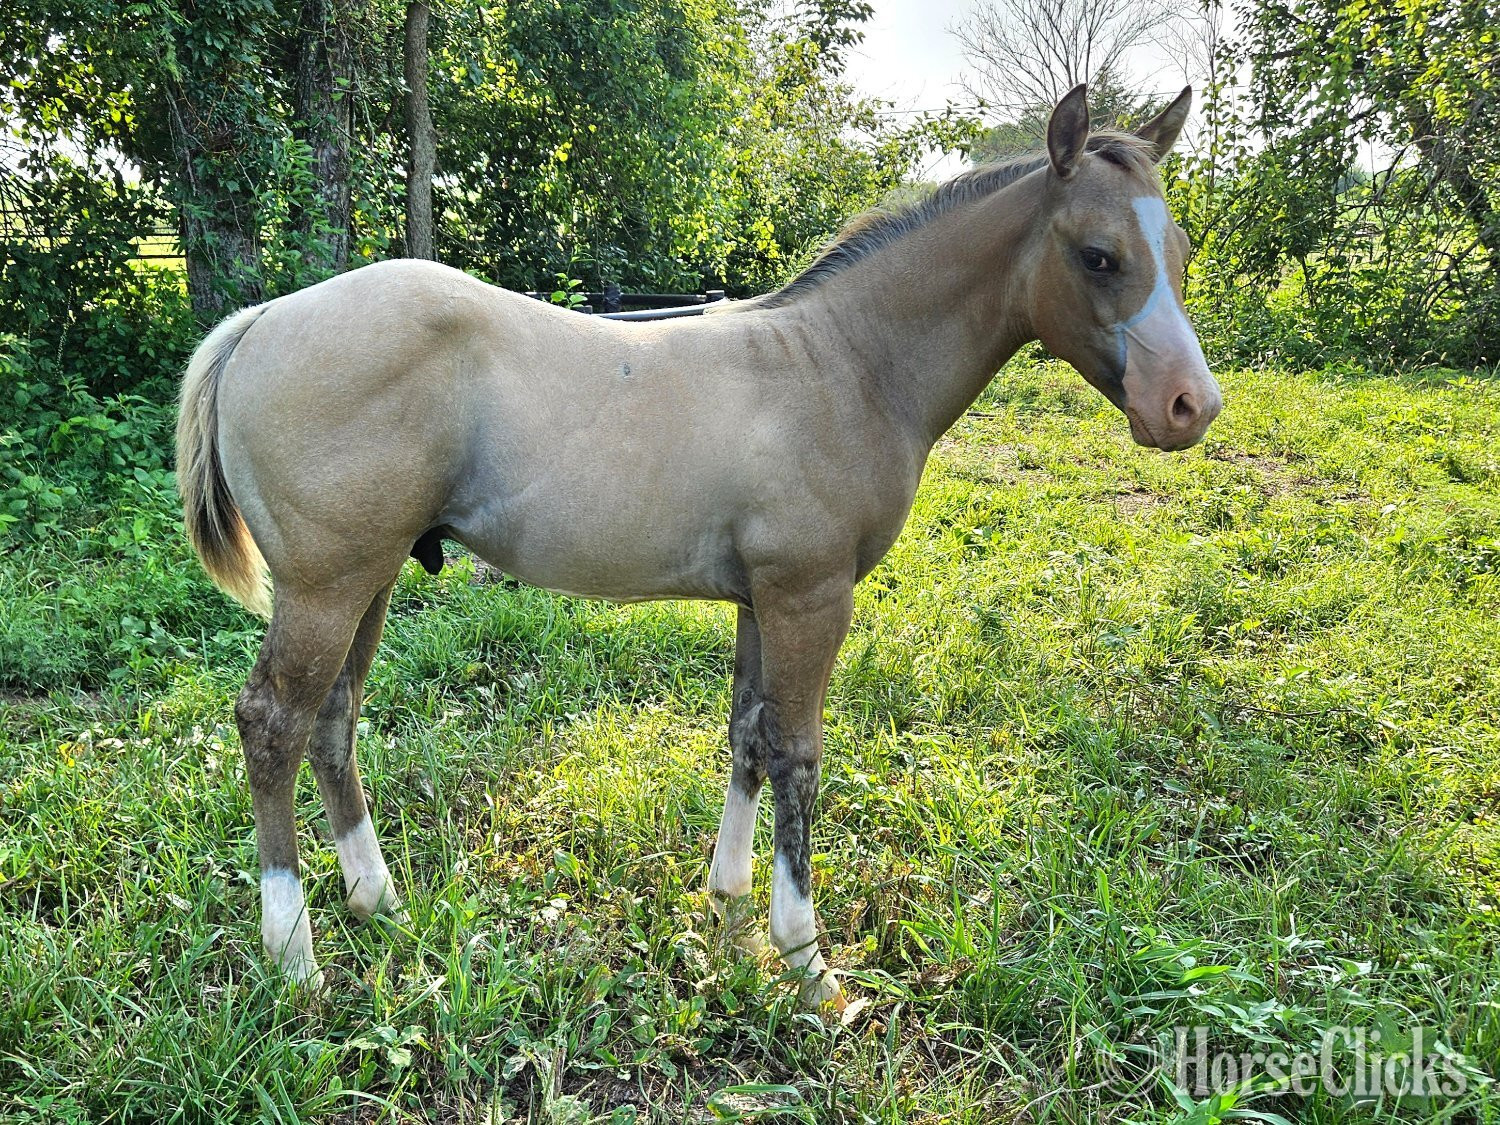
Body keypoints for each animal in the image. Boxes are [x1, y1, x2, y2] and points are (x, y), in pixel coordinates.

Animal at [176, 85, 1221, 1008]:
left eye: (1176, 247)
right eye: (1098, 255)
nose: (1189, 405)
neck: (843, 364)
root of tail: (259, 322)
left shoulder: (764, 597)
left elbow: (748, 736)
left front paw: (729, 907)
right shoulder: (811, 595)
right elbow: (798, 753)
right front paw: (806, 962)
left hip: (371, 577)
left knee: (333, 720)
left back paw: (378, 899)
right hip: (328, 583)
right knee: (273, 724)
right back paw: (295, 955)